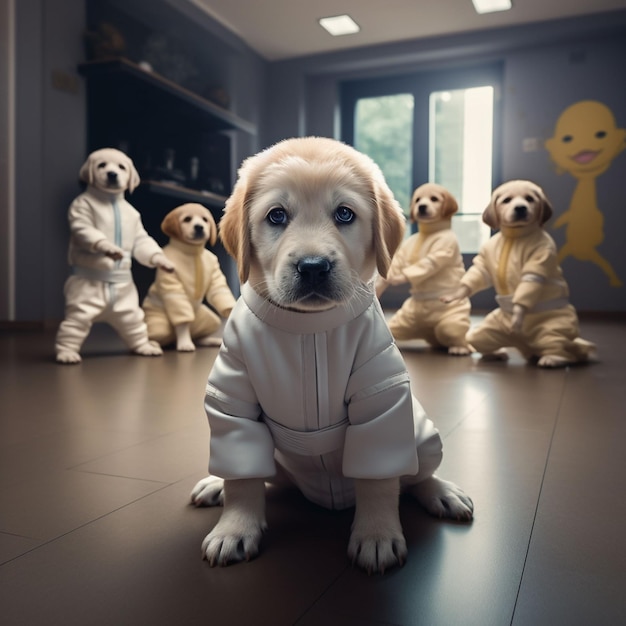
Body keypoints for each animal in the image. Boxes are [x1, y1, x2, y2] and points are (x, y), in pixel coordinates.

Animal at [55, 149, 174, 364]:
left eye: (121, 167)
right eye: (102, 165)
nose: (112, 174)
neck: (110, 200)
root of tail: (106, 314)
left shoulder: (138, 226)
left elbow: (143, 242)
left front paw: (163, 262)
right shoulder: (80, 209)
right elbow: (85, 227)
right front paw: (110, 249)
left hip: (129, 311)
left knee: (135, 327)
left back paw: (145, 347)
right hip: (82, 307)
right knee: (73, 326)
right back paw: (66, 353)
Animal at [143, 205, 235, 352]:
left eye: (205, 220)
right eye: (187, 219)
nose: (199, 227)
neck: (192, 252)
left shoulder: (215, 274)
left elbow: (218, 288)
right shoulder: (174, 289)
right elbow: (182, 323)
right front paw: (185, 342)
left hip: (209, 320)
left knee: (198, 336)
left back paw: (208, 340)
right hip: (159, 325)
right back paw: (153, 344)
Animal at [376, 183, 468, 354]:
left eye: (434, 199)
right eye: (418, 199)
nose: (422, 207)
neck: (429, 232)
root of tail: (428, 330)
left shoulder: (444, 246)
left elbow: (430, 262)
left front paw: (397, 278)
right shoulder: (404, 252)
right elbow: (398, 262)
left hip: (451, 324)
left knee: (455, 335)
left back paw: (460, 347)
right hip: (403, 322)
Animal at [442, 179, 592, 366]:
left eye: (530, 199)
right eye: (507, 200)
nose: (521, 208)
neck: (514, 236)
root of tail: (526, 346)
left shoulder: (541, 254)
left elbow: (530, 282)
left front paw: (517, 316)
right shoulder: (484, 262)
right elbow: (478, 273)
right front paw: (456, 294)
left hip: (553, 327)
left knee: (559, 345)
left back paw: (553, 358)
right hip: (489, 331)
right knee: (479, 339)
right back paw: (498, 352)